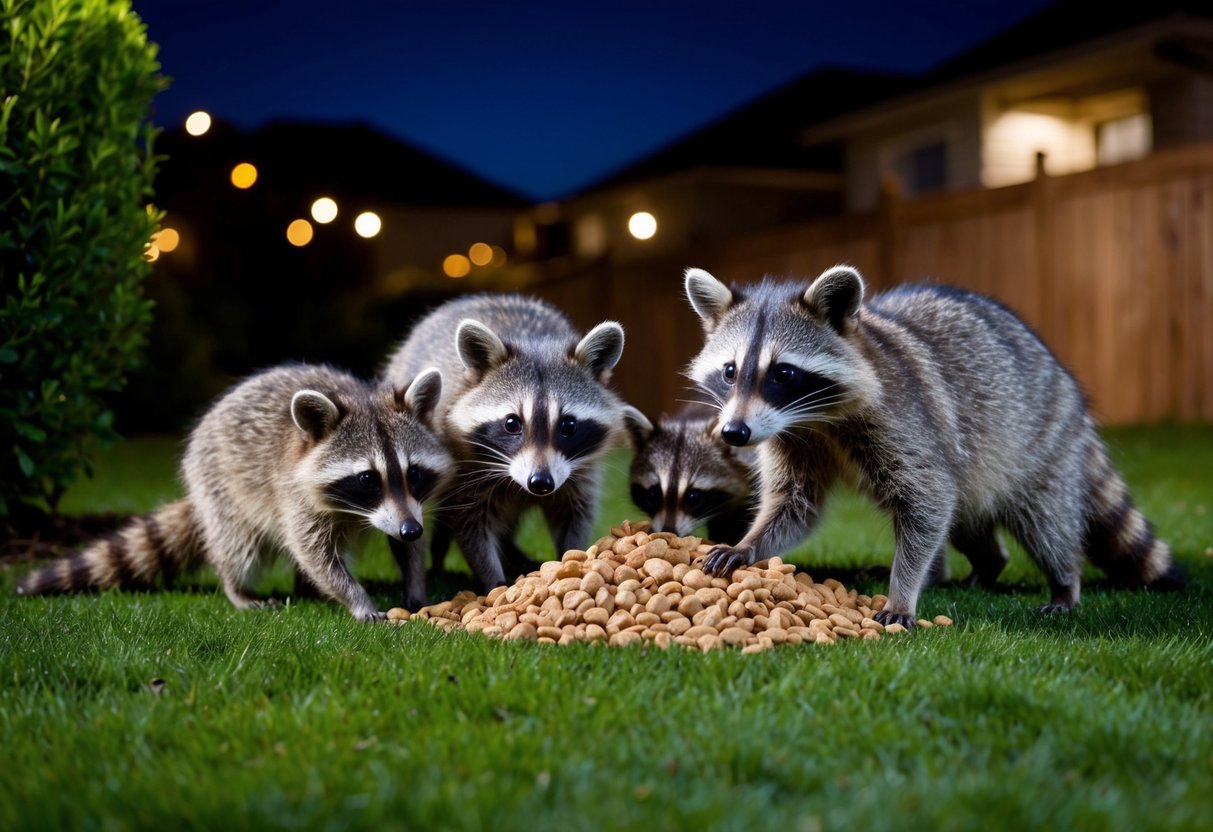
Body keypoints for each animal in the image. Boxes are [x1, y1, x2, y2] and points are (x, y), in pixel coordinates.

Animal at [17, 364, 452, 620]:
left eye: (414, 473)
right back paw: (238, 589)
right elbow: (314, 552)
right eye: (366, 479)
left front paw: (415, 582)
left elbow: (405, 543)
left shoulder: (405, 505)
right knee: (239, 547)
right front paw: (356, 598)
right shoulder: (293, 493)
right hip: (219, 483)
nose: (410, 528)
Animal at [381, 293, 641, 595]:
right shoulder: (466, 468)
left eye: (568, 426)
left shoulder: (580, 471)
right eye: (511, 423)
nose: (540, 483)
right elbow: (472, 525)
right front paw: (493, 579)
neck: (533, 342)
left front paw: (571, 557)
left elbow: (575, 514)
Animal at [683, 265, 1183, 627]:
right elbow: (795, 504)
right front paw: (749, 543)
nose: (734, 433)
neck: (813, 419)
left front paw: (903, 591)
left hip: (1036, 444)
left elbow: (926, 499)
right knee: (963, 516)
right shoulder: (793, 439)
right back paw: (982, 566)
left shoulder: (903, 420)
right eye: (730, 371)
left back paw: (1063, 582)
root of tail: (1064, 382)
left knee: (1043, 520)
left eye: (783, 373)